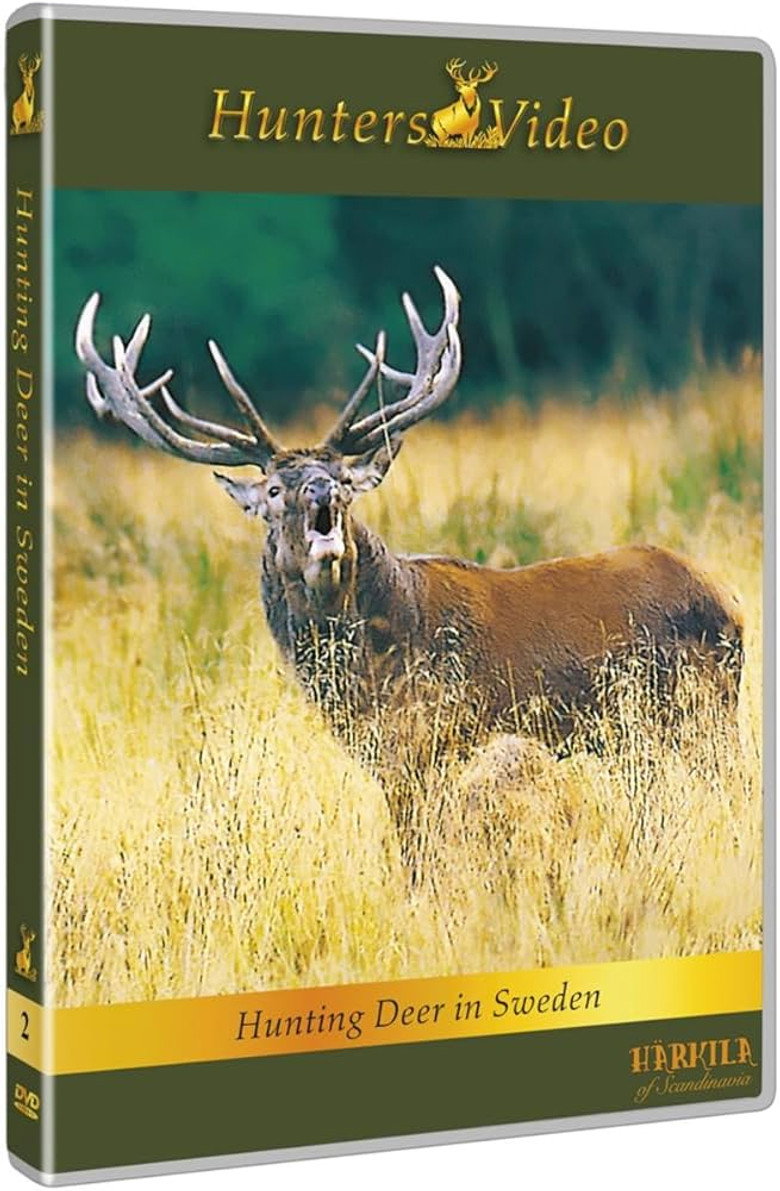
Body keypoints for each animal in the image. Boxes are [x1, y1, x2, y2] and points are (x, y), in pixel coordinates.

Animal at [75, 268, 743, 872]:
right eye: (273, 489)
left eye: (343, 478)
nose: (322, 491)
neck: (367, 674)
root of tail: (728, 602)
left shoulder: (430, 741)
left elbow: (419, 857)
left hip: (698, 716)